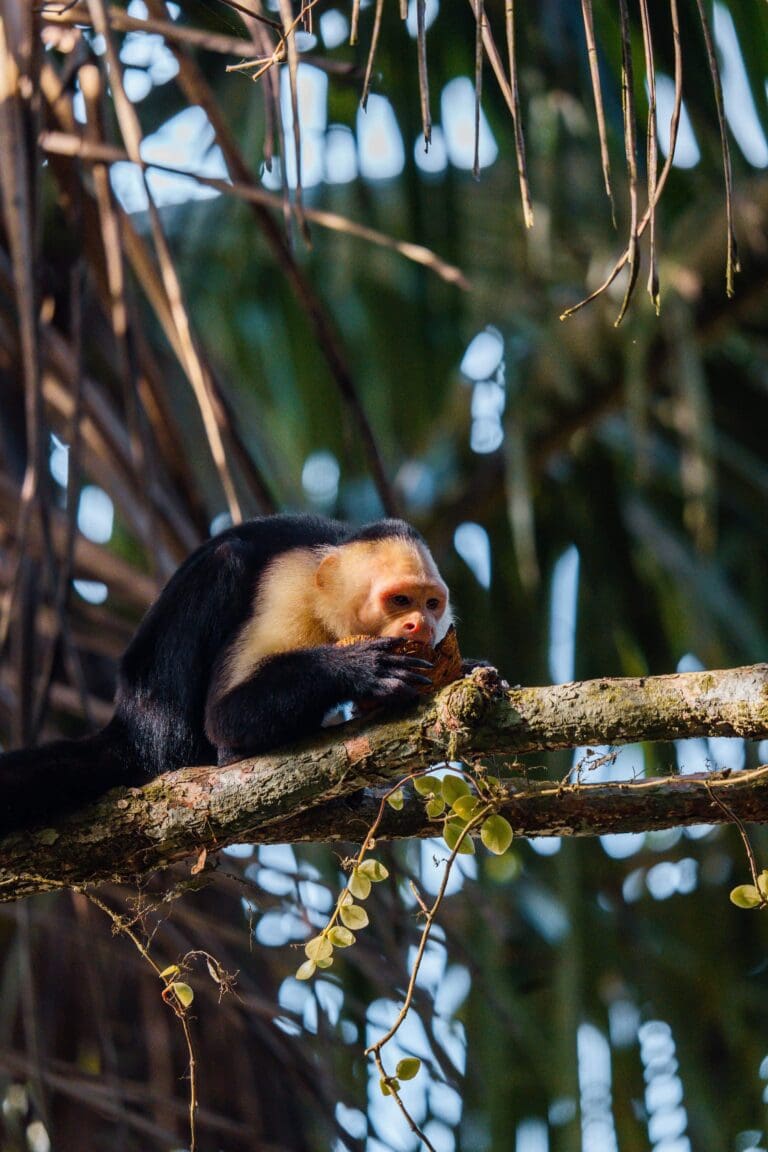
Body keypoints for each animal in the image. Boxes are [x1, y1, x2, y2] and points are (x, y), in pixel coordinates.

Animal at [0, 513, 453, 829]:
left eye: (431, 604)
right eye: (399, 600)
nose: (421, 626)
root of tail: (129, 724)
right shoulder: (290, 587)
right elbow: (225, 717)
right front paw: (361, 667)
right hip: (158, 711)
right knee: (226, 560)